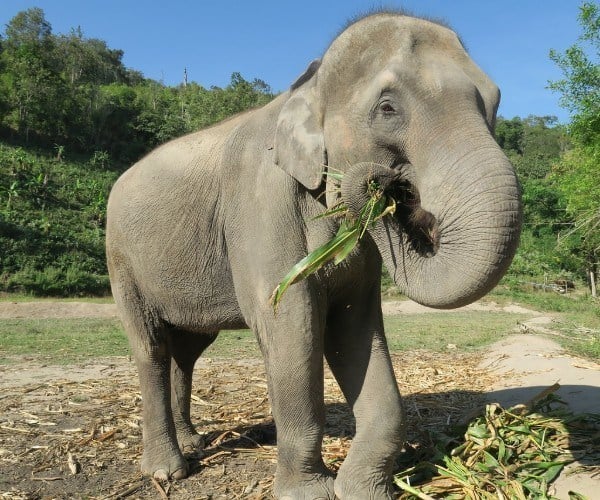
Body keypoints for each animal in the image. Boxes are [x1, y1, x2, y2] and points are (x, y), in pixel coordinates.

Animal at [106, 11, 520, 500]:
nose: (382, 184)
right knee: (151, 346)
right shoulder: (261, 204)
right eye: (387, 108)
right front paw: (311, 491)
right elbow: (292, 324)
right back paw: (168, 471)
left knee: (186, 350)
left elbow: (354, 328)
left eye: (495, 103)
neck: (308, 83)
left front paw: (362, 490)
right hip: (121, 259)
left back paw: (192, 442)